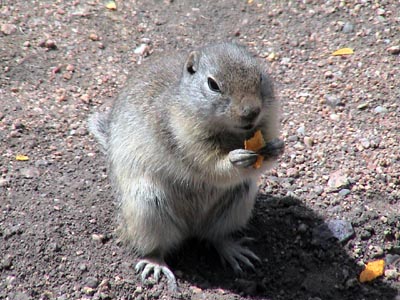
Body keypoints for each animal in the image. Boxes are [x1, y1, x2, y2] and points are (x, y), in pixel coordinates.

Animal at [89, 42, 286, 290]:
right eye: (213, 84)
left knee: (215, 236)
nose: (251, 112)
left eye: (260, 76)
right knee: (155, 247)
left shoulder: (268, 121)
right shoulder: (185, 138)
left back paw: (233, 250)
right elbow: (209, 165)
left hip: (238, 201)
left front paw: (276, 147)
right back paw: (155, 263)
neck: (230, 133)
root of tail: (191, 228)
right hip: (147, 208)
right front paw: (235, 159)